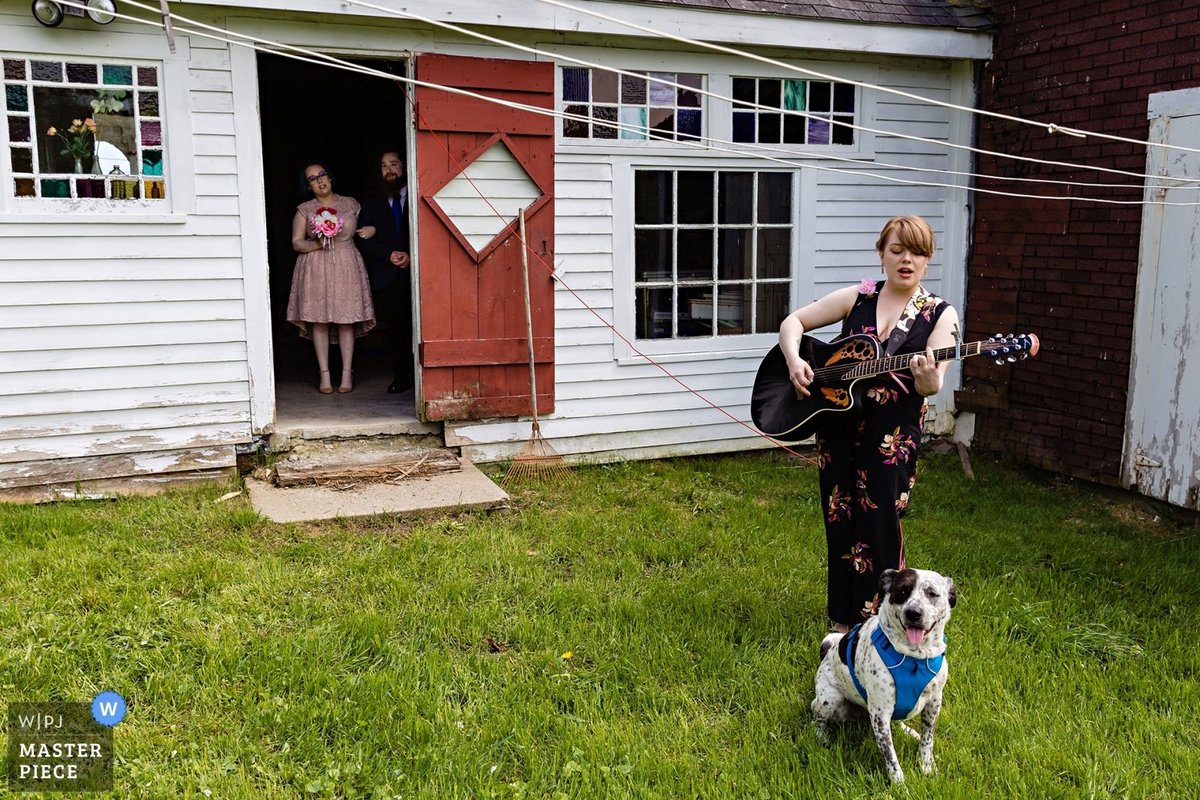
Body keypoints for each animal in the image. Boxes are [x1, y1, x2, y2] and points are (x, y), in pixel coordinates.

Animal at [811, 566, 960, 786]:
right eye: (902, 591)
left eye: (932, 593)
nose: (913, 613)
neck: (914, 658)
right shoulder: (880, 714)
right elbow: (891, 757)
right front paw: (900, 786)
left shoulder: (934, 703)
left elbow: (928, 740)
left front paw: (927, 766)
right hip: (829, 698)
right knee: (817, 717)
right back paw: (821, 737)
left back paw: (909, 731)